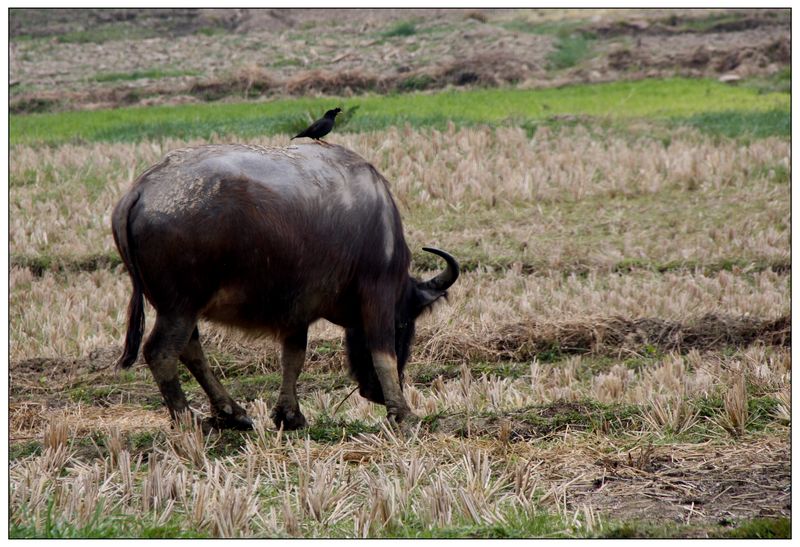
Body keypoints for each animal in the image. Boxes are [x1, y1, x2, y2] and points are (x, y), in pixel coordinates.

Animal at [115, 144, 460, 432]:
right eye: (405, 324)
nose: (372, 392)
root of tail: (142, 189)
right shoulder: (378, 293)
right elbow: (382, 353)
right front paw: (403, 413)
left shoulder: (297, 311)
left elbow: (293, 357)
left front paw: (290, 415)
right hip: (180, 307)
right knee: (161, 352)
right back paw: (187, 419)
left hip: (180, 309)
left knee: (190, 350)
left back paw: (232, 413)